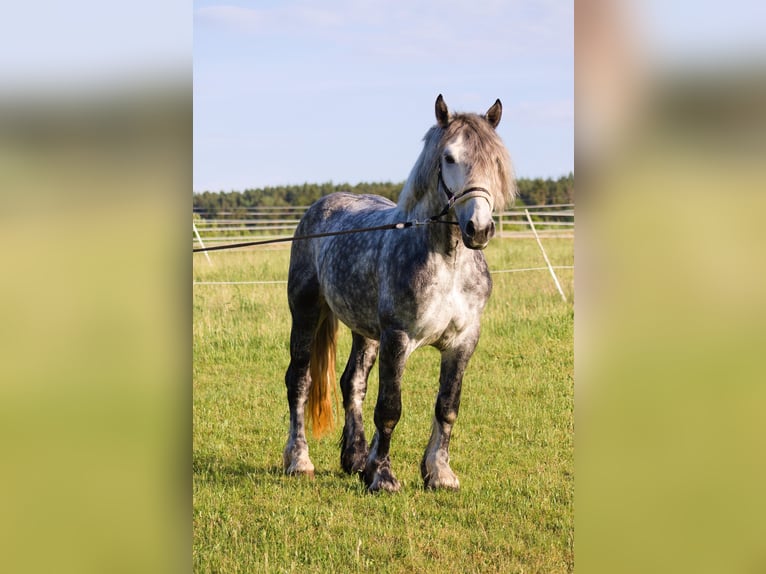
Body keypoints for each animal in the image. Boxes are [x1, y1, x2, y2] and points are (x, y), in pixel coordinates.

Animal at [283, 94, 515, 492]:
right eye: (448, 157)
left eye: (495, 162)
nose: (479, 228)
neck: (448, 262)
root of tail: (321, 207)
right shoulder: (398, 337)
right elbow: (390, 408)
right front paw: (383, 476)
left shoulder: (463, 341)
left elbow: (447, 405)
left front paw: (438, 473)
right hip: (306, 311)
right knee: (299, 380)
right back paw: (299, 460)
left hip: (365, 332)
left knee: (352, 383)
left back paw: (355, 458)